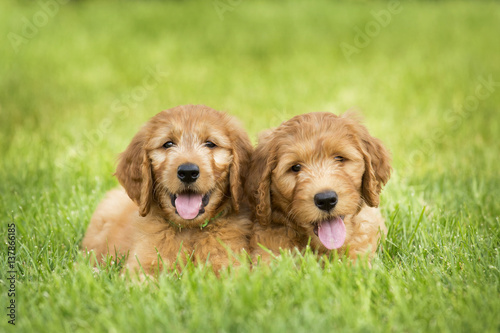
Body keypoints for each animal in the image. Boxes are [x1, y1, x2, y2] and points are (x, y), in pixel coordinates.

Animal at [83, 105, 254, 274]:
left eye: (210, 144)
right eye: (168, 144)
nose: (188, 172)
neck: (189, 229)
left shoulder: (230, 265)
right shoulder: (141, 266)